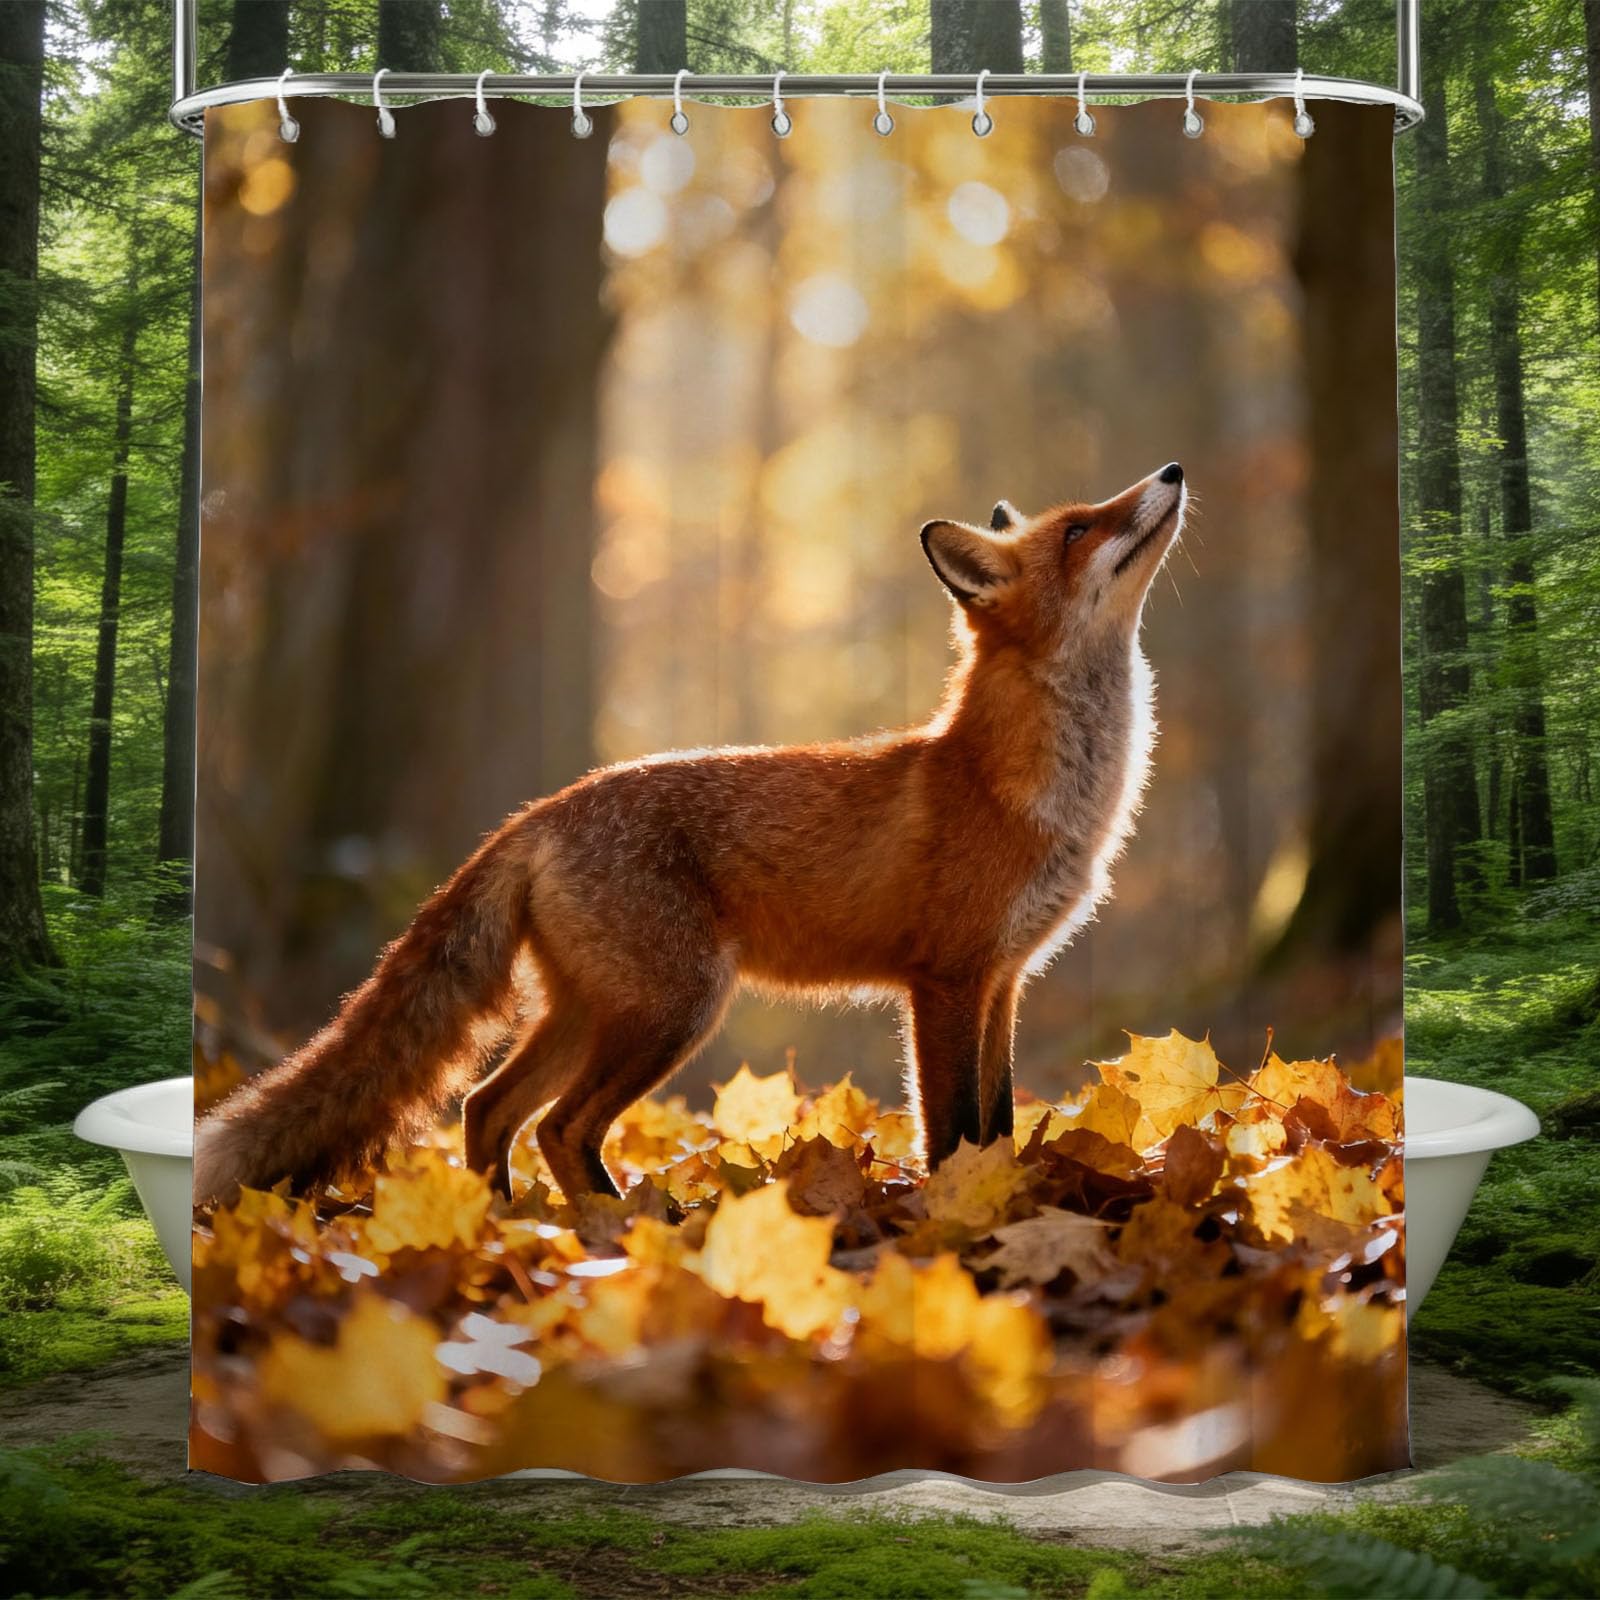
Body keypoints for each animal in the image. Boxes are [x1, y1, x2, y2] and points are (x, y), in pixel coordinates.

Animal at [194, 462, 1188, 1206]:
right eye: (1077, 531)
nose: (1173, 470)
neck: (1028, 794)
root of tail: (540, 811)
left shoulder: (1005, 980)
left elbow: (1000, 1125)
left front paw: (1000, 1203)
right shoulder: (944, 980)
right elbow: (952, 1133)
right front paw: (956, 1220)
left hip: (593, 1009)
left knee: (485, 1107)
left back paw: (500, 1229)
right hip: (674, 1007)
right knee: (561, 1126)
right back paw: (620, 1231)